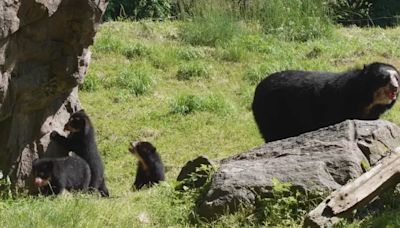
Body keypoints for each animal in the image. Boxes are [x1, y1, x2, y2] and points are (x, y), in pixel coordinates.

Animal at [253, 61, 400, 142]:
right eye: (384, 78)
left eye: (397, 78)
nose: (395, 87)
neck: (367, 101)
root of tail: (258, 89)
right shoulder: (338, 104)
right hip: (272, 111)